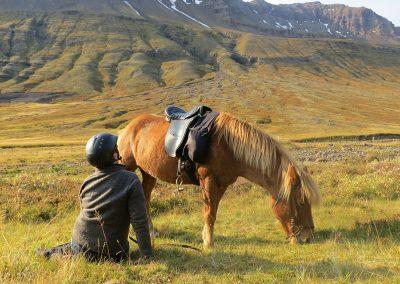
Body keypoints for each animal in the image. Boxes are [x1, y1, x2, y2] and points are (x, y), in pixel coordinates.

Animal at [117, 111, 320, 248]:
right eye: (300, 201)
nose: (308, 237)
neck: (229, 146)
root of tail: (128, 128)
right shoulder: (209, 182)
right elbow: (209, 213)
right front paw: (208, 243)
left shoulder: (222, 184)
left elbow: (213, 213)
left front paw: (206, 238)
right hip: (128, 167)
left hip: (149, 173)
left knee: (145, 199)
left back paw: (151, 231)